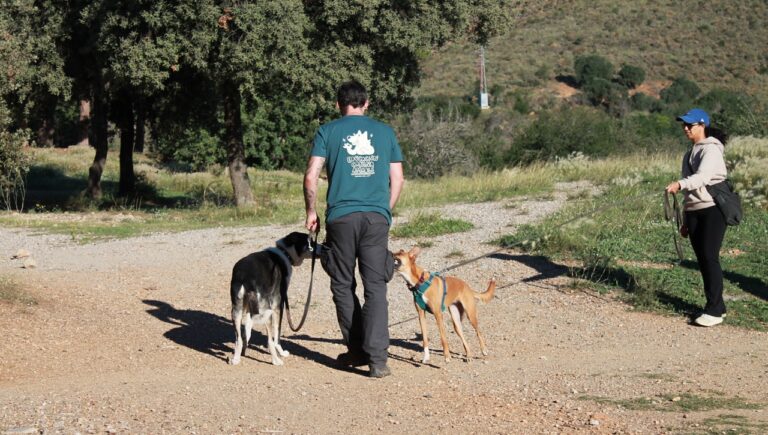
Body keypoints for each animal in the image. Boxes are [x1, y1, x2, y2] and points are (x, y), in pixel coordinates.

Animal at [226, 233, 314, 366]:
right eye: (307, 242)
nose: (317, 249)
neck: (284, 252)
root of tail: (246, 277)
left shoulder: (249, 309)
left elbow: (247, 331)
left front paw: (244, 351)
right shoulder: (278, 305)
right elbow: (277, 335)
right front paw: (281, 352)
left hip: (237, 310)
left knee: (238, 339)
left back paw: (236, 359)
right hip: (267, 312)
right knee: (270, 341)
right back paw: (276, 360)